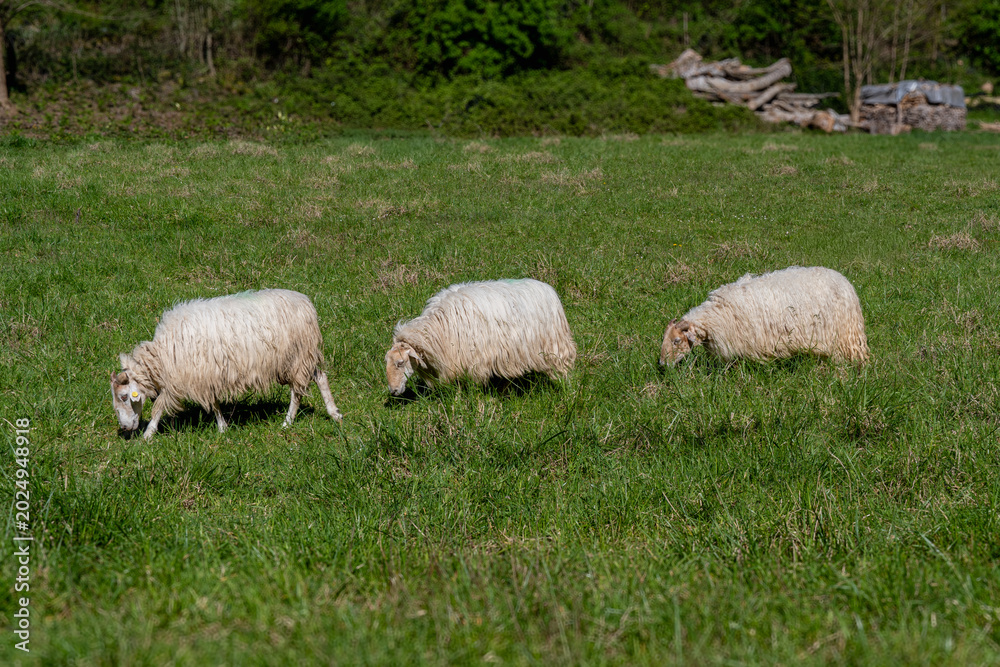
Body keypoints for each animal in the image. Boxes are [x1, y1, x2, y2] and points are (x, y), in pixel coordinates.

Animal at [111, 289, 342, 439]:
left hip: (296, 357)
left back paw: (287, 422)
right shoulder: (206, 376)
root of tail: (305, 302)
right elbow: (214, 403)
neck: (161, 355)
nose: (125, 428)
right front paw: (223, 427)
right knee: (320, 376)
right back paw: (334, 413)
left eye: (124, 397)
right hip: (300, 357)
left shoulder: (188, 377)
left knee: (297, 392)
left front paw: (148, 434)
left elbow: (159, 407)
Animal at [385, 279, 577, 395]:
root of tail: (546, 287)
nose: (393, 391)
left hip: (555, 345)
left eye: (400, 363)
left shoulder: (475, 361)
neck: (438, 330)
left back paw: (565, 388)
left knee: (562, 368)